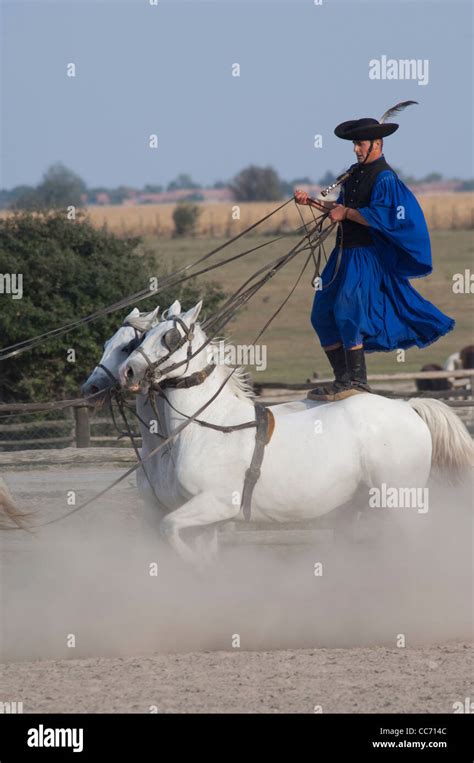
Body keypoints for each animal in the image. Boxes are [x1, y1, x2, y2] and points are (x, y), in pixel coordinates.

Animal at [119, 302, 474, 564]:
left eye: (169, 338)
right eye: (142, 337)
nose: (128, 371)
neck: (210, 425)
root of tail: (407, 406)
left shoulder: (216, 503)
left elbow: (168, 528)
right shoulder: (205, 517)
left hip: (401, 501)